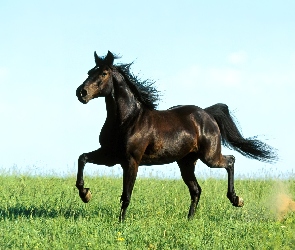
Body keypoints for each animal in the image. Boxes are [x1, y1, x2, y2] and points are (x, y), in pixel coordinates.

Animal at [75, 50, 278, 221]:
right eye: (89, 72)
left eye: (103, 73)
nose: (81, 93)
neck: (127, 119)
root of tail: (207, 113)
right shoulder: (111, 156)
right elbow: (82, 158)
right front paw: (85, 194)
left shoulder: (131, 160)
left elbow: (126, 194)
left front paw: (121, 222)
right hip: (186, 162)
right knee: (196, 190)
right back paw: (189, 219)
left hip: (210, 157)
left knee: (230, 161)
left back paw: (236, 199)